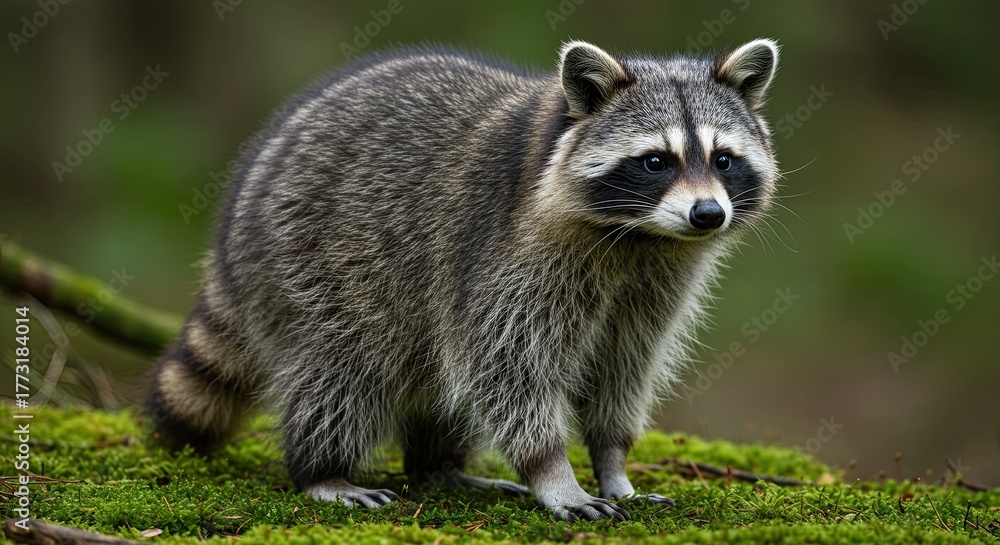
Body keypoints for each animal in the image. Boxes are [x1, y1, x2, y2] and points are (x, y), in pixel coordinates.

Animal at [147, 39, 780, 521]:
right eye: (655, 161)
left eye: (723, 159)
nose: (707, 214)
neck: (638, 237)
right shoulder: (506, 258)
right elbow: (505, 365)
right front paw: (554, 472)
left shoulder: (655, 283)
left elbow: (623, 366)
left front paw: (613, 464)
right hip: (313, 259)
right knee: (345, 368)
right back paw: (321, 469)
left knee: (436, 380)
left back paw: (439, 467)